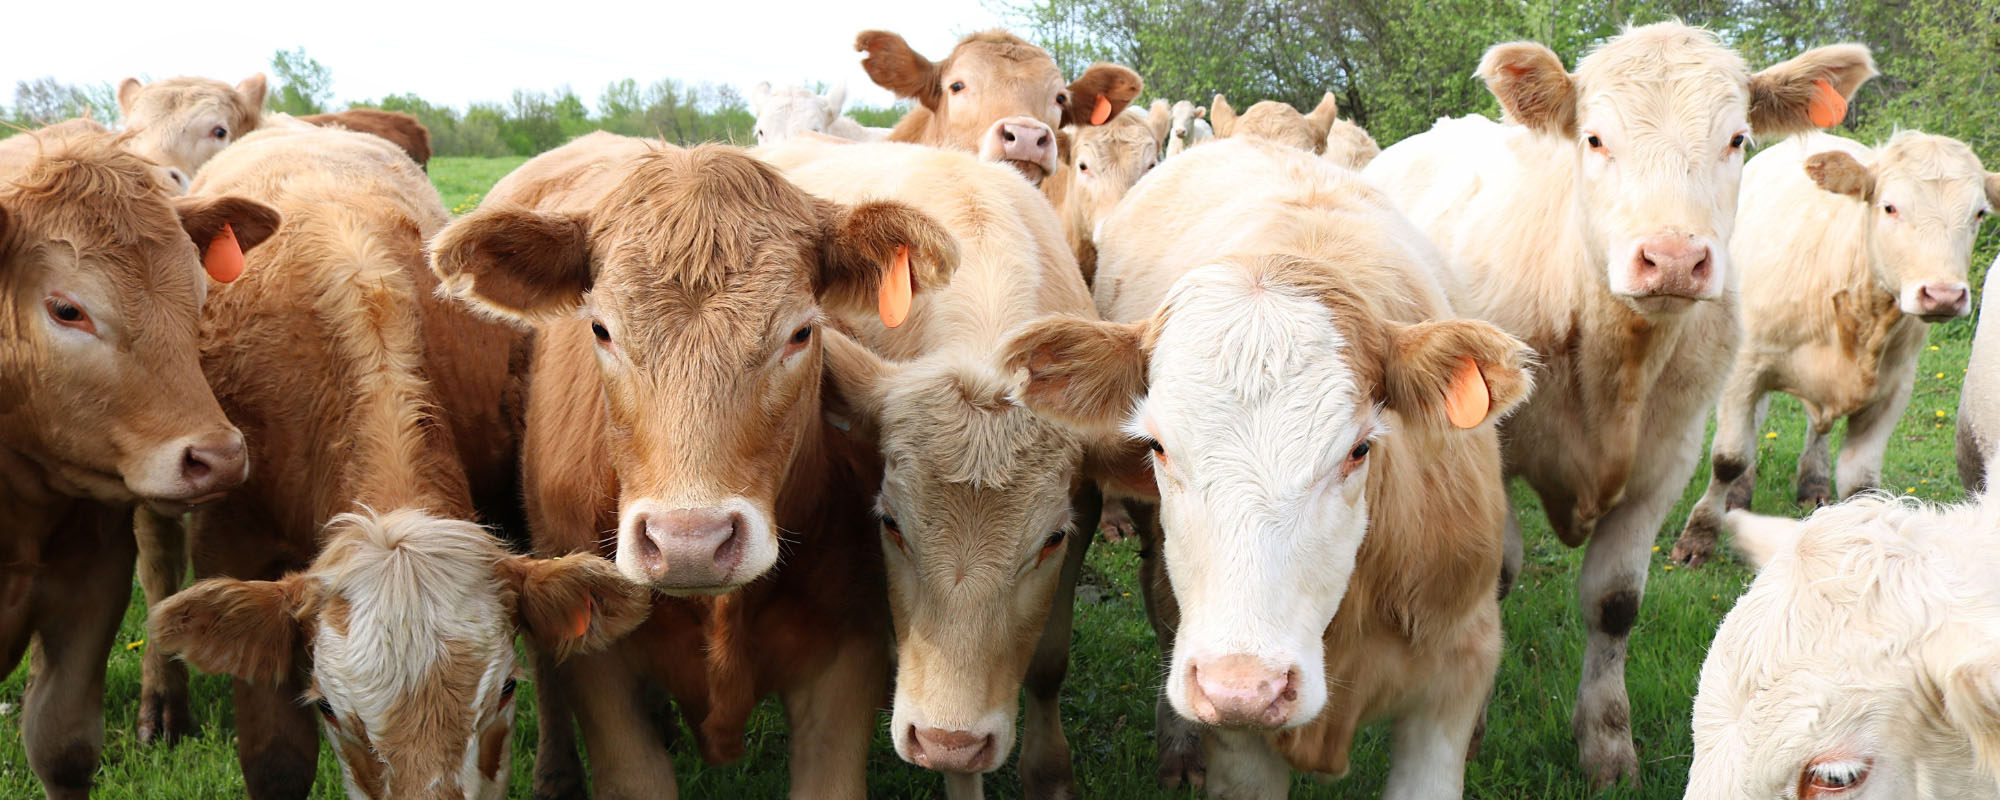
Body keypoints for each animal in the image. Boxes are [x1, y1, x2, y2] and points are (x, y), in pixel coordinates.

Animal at [1362, 21, 1876, 787]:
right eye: (1595, 138)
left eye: (1737, 139)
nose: (1672, 259)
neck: (1616, 361)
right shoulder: (1492, 450)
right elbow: (1496, 578)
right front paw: (1472, 727)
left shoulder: (1665, 462)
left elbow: (1614, 604)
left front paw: (1606, 746)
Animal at [1674, 132, 1996, 565]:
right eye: (1889, 206)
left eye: (1979, 213)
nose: (1943, 295)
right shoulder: (1746, 368)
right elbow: (1728, 458)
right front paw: (1699, 538)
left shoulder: (1894, 388)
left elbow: (1860, 483)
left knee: (1816, 429)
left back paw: (1813, 482)